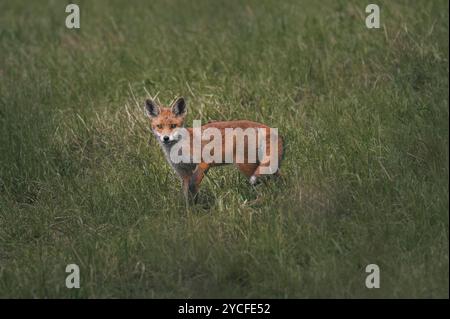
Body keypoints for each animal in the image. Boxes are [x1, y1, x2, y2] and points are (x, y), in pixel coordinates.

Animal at [145, 96, 284, 204]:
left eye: (173, 126)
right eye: (159, 126)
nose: (166, 138)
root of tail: (264, 126)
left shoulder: (204, 162)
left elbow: (194, 184)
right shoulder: (183, 173)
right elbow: (186, 195)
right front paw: (189, 212)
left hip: (246, 166)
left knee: (266, 185)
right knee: (277, 178)